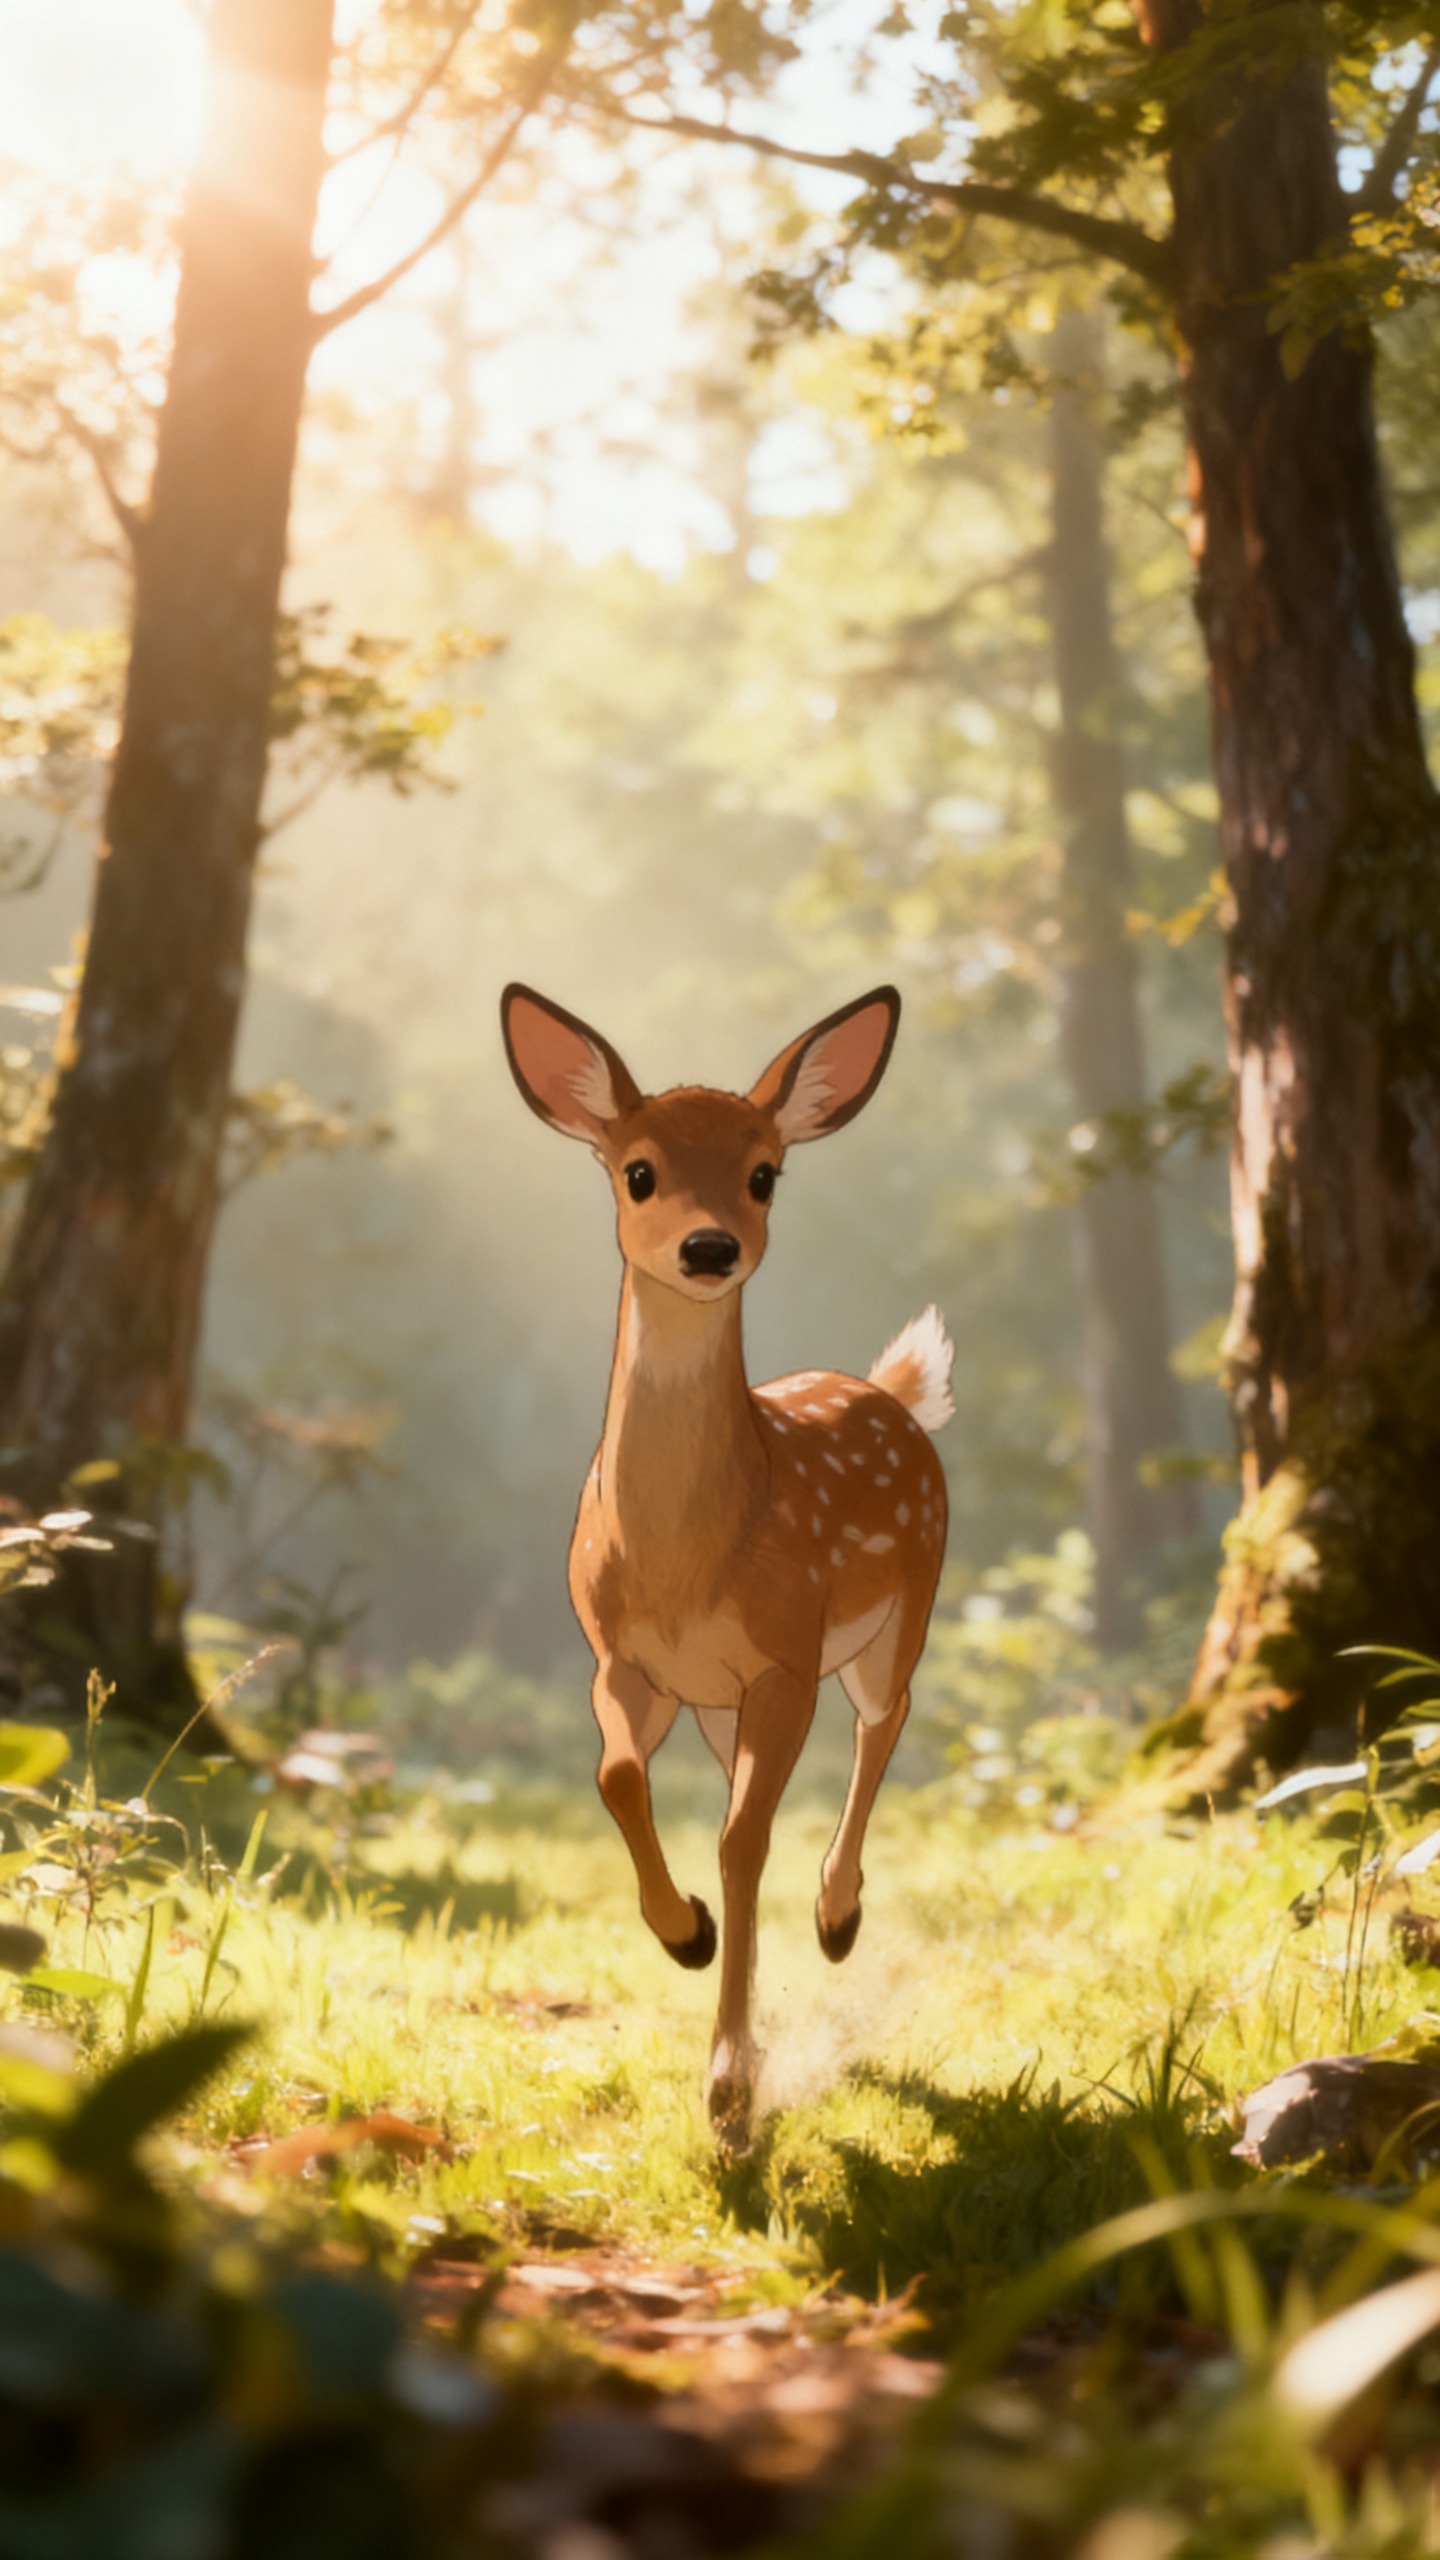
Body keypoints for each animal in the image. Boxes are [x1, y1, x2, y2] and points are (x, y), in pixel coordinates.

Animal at [500, 983, 953, 2145]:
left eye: (763, 1173)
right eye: (638, 1169)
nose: (709, 1247)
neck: (686, 1560)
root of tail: (888, 1388)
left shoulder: (783, 1658)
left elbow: (743, 1840)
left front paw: (730, 2088)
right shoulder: (623, 1661)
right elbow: (618, 1777)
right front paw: (685, 1933)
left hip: (902, 1608)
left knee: (884, 1722)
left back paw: (839, 1915)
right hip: (715, 1703)